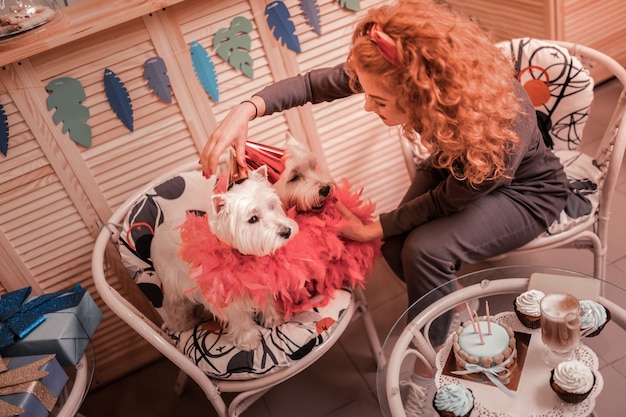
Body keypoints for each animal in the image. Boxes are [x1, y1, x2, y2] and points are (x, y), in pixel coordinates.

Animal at [151, 164, 298, 350]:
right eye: (253, 219)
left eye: (271, 206)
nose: (287, 232)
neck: (240, 256)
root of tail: (158, 230)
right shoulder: (225, 298)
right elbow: (240, 320)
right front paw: (249, 340)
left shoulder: (261, 280)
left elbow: (267, 300)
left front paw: (273, 319)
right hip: (174, 287)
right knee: (175, 308)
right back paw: (182, 324)